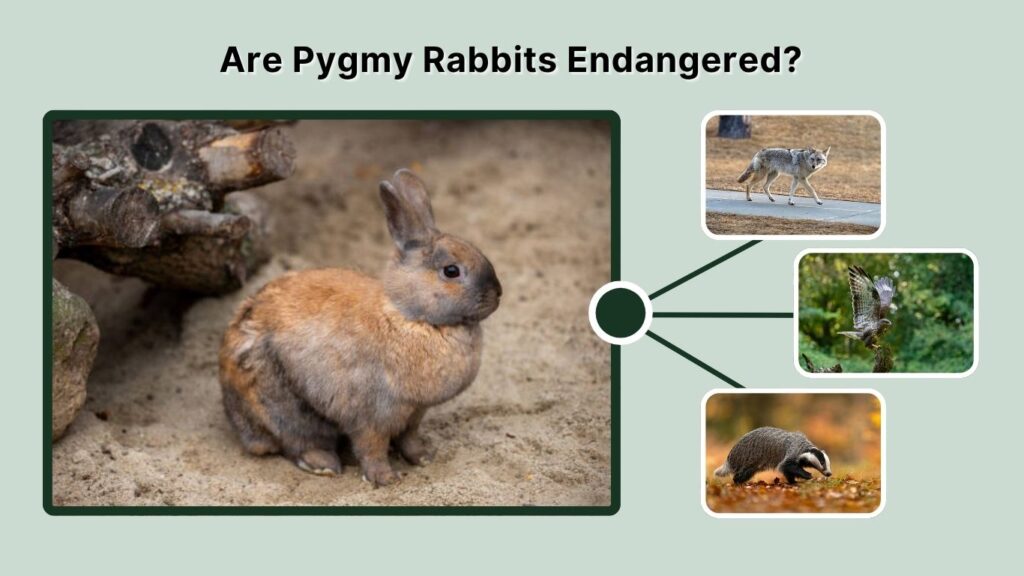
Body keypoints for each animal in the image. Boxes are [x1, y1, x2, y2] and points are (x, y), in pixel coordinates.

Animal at [219, 169, 502, 486]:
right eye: (451, 271)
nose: (498, 294)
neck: (409, 315)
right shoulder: (372, 416)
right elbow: (371, 449)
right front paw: (387, 479)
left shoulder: (414, 413)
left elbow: (410, 439)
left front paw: (424, 458)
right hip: (283, 405)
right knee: (297, 441)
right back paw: (323, 465)